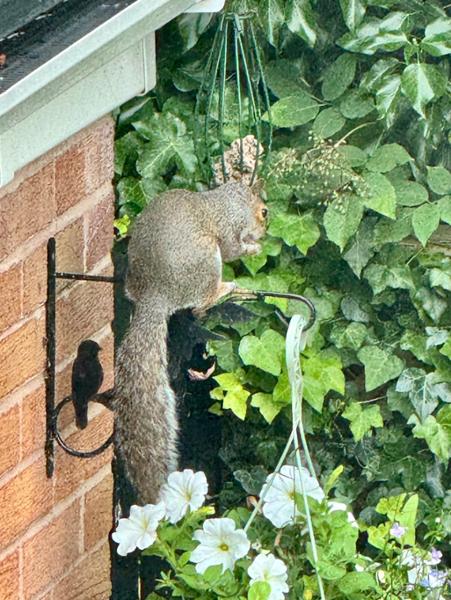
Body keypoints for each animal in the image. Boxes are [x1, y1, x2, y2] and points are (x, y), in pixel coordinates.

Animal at [115, 182, 268, 502]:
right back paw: (225, 287)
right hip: (207, 261)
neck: (228, 199)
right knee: (201, 303)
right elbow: (233, 249)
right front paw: (252, 248)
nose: (264, 232)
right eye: (264, 212)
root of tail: (157, 295)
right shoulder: (230, 226)